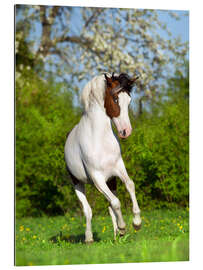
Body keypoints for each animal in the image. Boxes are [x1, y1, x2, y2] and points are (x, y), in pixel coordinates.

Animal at [65, 72, 141, 243]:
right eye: (115, 99)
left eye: (129, 100)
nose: (126, 131)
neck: (100, 140)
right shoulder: (97, 178)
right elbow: (116, 202)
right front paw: (123, 227)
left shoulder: (118, 169)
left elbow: (130, 185)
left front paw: (136, 222)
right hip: (78, 183)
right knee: (88, 210)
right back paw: (89, 238)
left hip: (111, 181)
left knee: (109, 206)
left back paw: (116, 236)